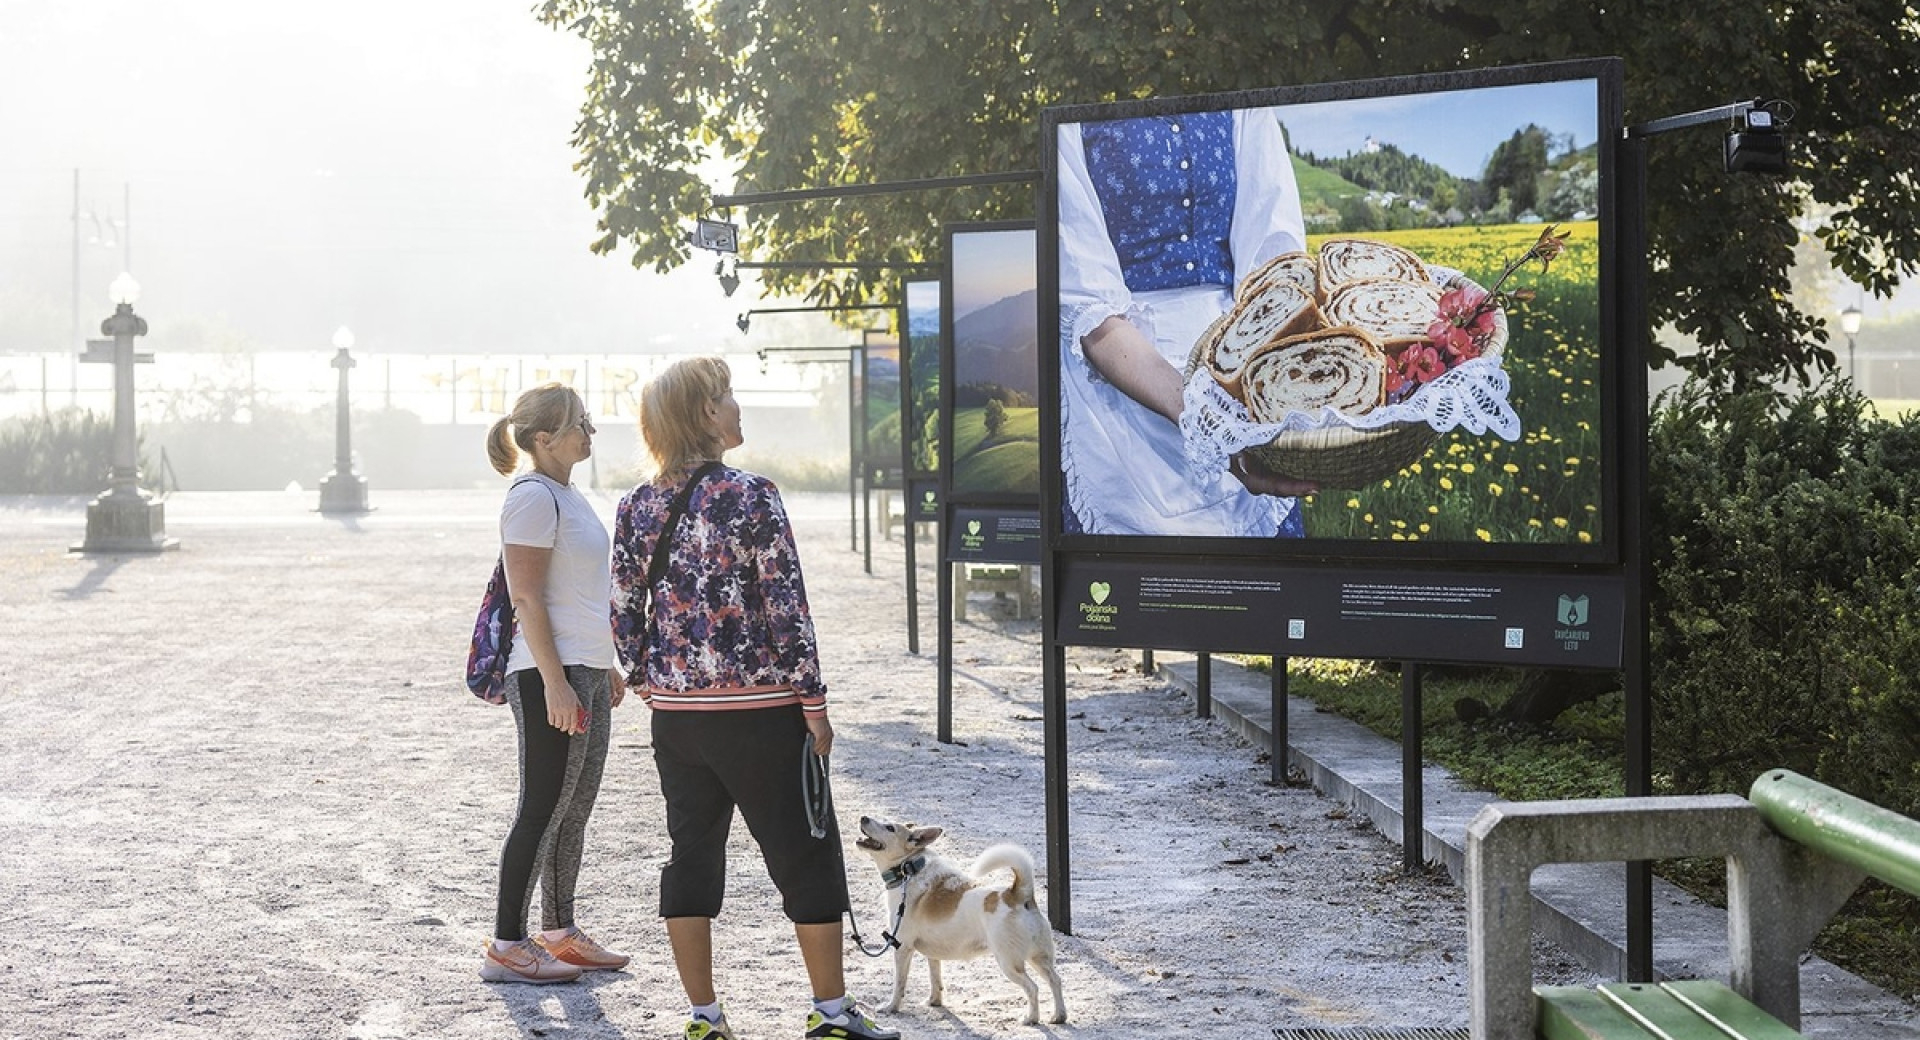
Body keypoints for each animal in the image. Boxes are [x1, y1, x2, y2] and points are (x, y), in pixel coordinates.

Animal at [852, 813, 1067, 1028]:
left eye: (889, 828)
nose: (863, 817)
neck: (908, 871)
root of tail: (1017, 894)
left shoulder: (902, 947)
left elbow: (899, 983)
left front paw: (892, 1007)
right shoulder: (933, 953)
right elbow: (935, 978)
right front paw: (935, 1002)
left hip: (1009, 962)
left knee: (1033, 987)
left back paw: (1031, 1018)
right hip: (1039, 957)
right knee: (1055, 980)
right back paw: (1059, 1016)